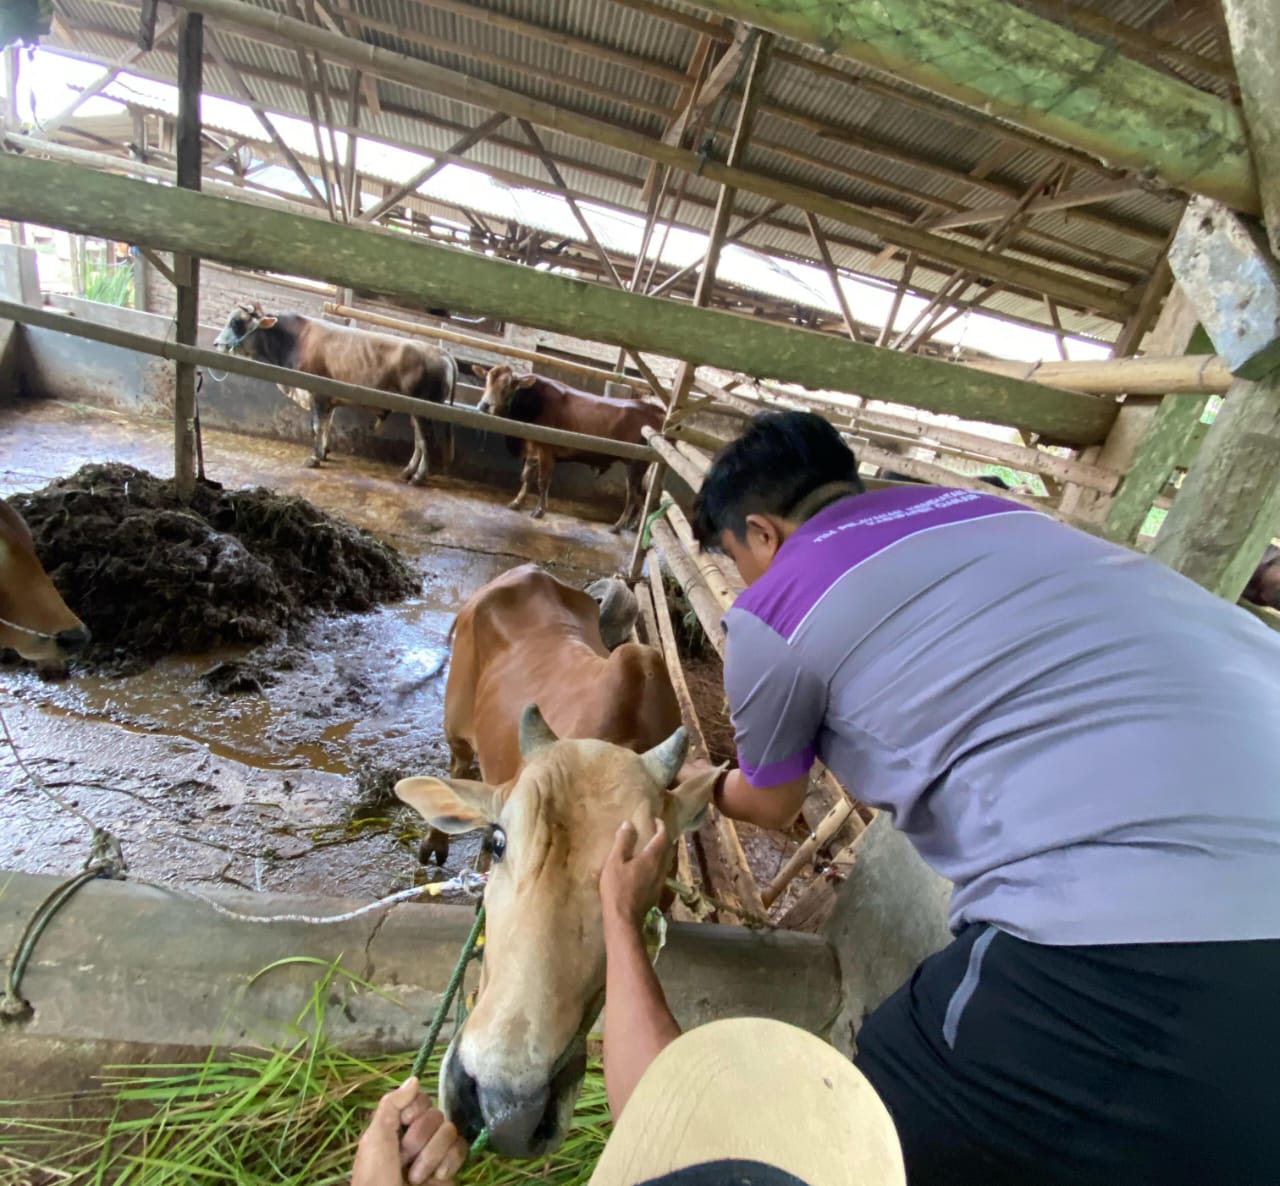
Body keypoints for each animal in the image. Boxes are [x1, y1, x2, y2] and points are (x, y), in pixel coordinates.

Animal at [217, 303, 458, 483]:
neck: (296, 340)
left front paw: (314, 458)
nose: (216, 343)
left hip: (423, 410)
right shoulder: (327, 400)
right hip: (415, 411)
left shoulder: (316, 393)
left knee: (426, 440)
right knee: (419, 440)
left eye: (237, 323)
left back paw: (419, 476)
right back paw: (408, 471)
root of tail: (442, 352)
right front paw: (324, 452)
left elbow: (316, 426)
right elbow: (327, 425)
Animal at [394, 565, 721, 1161]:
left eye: (649, 873)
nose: (505, 1110)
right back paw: (436, 845)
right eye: (504, 839)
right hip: (456, 727)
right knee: (457, 763)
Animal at [476, 360, 665, 529]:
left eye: (508, 385)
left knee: (633, 496)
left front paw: (539, 511)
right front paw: (517, 501)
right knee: (642, 497)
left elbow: (543, 481)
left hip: (636, 465)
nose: (484, 405)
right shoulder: (531, 449)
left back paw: (618, 526)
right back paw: (634, 525)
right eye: (486, 381)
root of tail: (655, 409)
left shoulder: (546, 450)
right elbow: (526, 476)